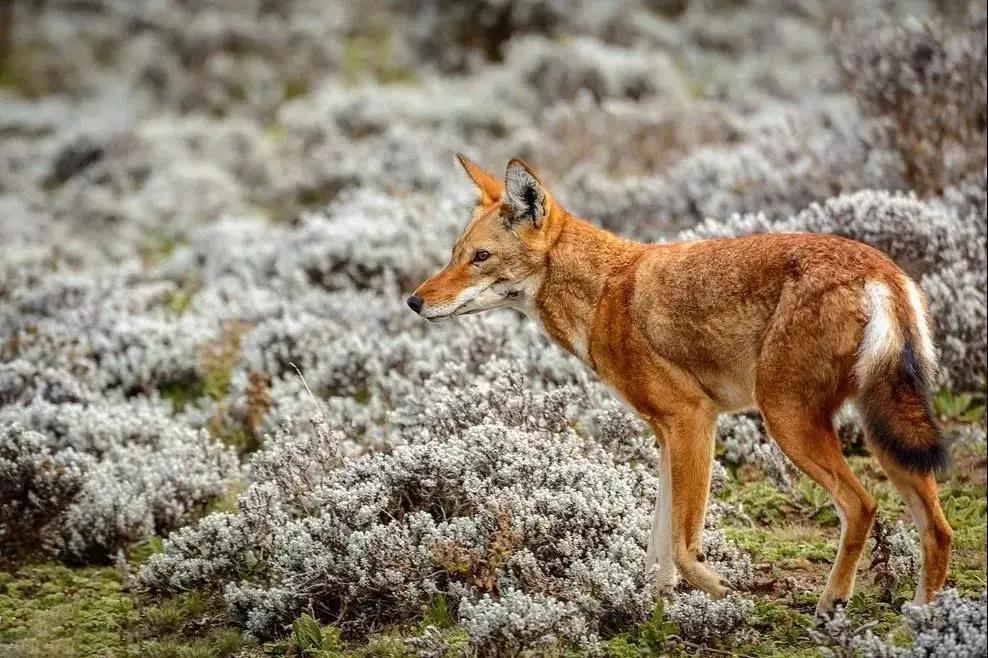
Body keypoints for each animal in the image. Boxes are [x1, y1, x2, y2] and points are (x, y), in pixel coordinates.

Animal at [406, 154, 952, 616]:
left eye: (480, 257)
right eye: (454, 254)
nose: (414, 301)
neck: (603, 293)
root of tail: (880, 270)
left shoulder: (693, 420)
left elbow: (685, 548)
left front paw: (726, 591)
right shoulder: (667, 434)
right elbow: (659, 543)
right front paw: (648, 602)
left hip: (790, 424)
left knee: (862, 506)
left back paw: (831, 605)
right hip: (885, 434)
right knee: (938, 529)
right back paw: (923, 619)